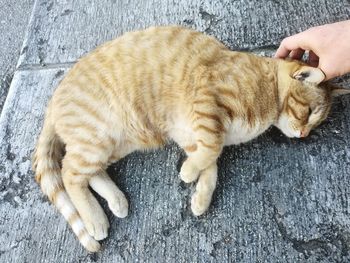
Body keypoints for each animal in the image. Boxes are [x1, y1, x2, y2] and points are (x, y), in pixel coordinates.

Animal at [31, 25, 348, 253]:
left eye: (318, 122)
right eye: (309, 112)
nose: (304, 135)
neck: (268, 86)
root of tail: (53, 100)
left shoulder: (191, 133)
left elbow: (211, 163)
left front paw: (201, 197)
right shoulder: (206, 102)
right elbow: (212, 150)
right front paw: (188, 173)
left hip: (117, 142)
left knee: (89, 172)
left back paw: (116, 200)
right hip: (97, 137)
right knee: (69, 173)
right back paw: (95, 218)